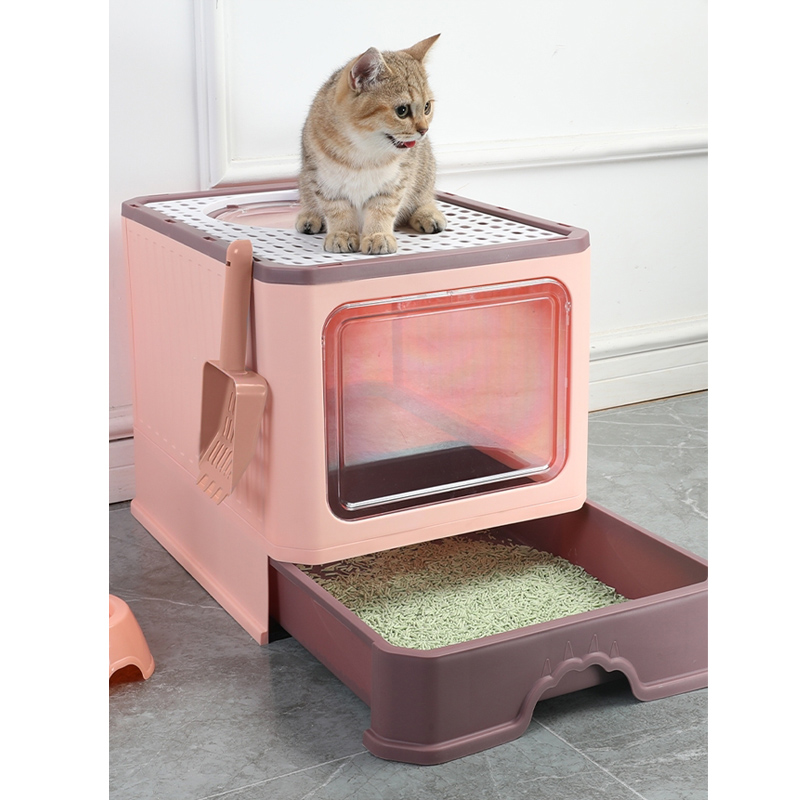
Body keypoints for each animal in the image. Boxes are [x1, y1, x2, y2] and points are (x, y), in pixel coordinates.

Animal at [295, 34, 447, 255]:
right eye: (402, 110)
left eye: (427, 107)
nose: (424, 130)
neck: (362, 151)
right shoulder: (323, 180)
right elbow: (337, 210)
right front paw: (342, 234)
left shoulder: (395, 182)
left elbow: (382, 210)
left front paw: (378, 236)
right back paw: (309, 216)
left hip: (425, 173)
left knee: (424, 197)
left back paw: (428, 214)